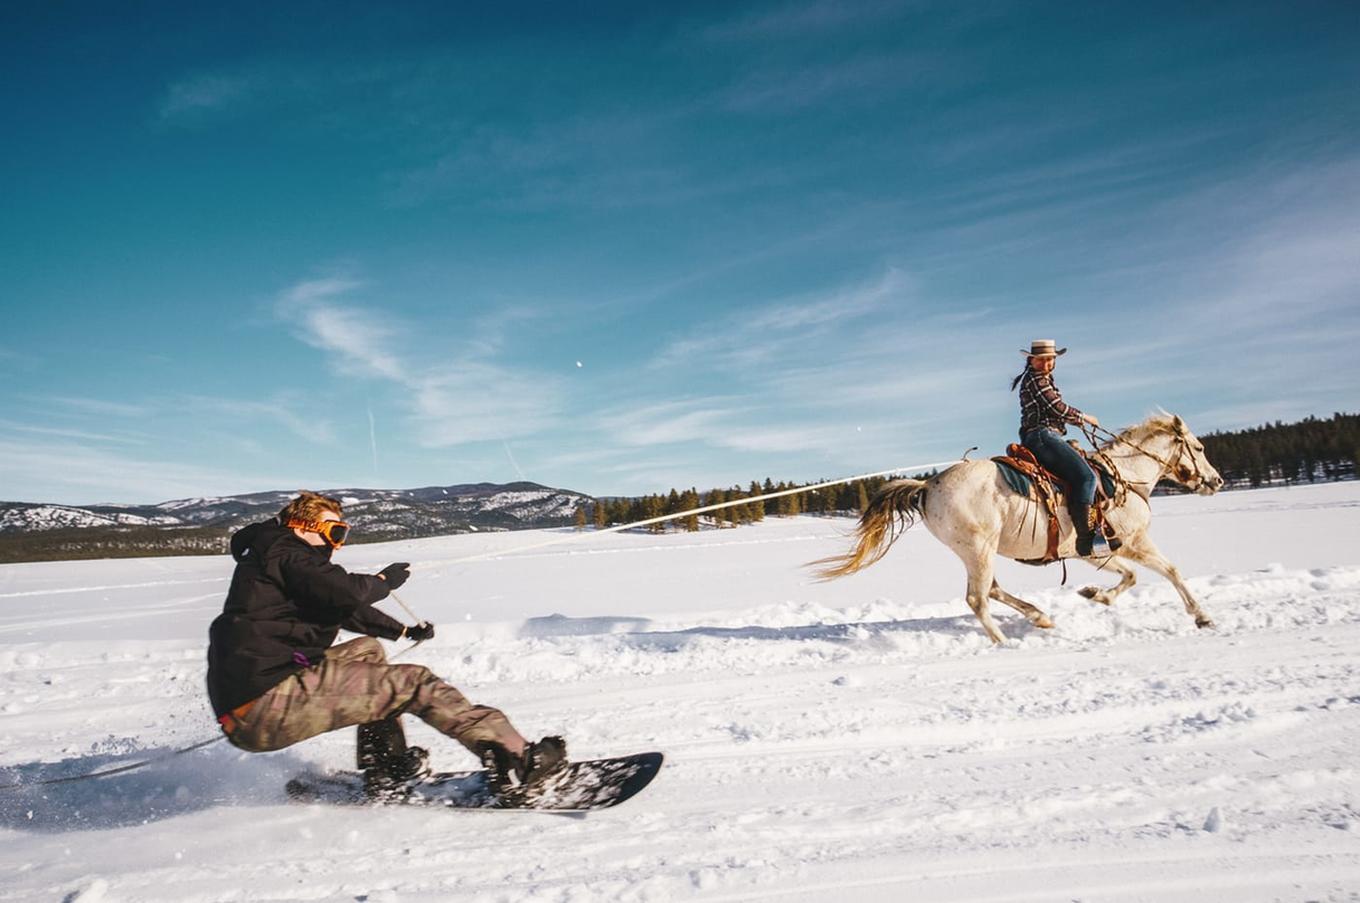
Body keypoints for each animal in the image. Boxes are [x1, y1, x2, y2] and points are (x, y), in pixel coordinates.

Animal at [810, 416, 1229, 641]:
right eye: (1198, 447)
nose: (1217, 481)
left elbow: (1128, 577)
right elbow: (1170, 571)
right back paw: (1002, 642)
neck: (1125, 477)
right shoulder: (1133, 541)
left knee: (992, 590)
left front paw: (1096, 594)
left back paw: (1039, 617)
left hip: (978, 551)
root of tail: (927, 486)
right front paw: (1202, 616)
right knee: (978, 598)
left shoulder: (1094, 549)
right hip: (979, 549)